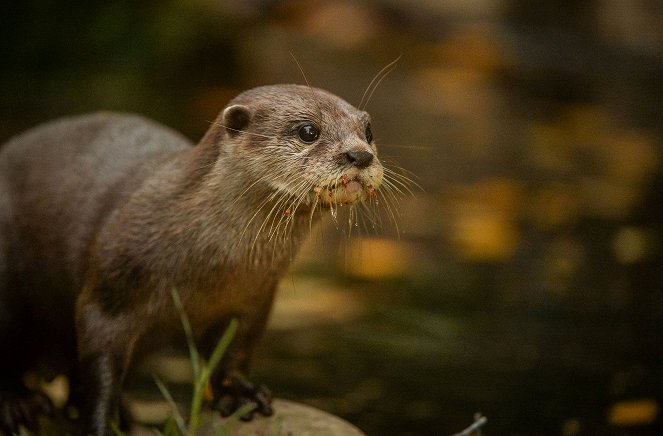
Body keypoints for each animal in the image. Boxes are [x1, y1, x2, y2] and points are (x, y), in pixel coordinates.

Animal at [0, 83, 384, 434]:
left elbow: (236, 351)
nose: (360, 155)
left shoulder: (255, 299)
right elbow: (100, 364)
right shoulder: (110, 294)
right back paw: (19, 404)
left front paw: (240, 394)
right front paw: (102, 421)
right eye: (308, 131)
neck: (210, 267)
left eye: (367, 131)